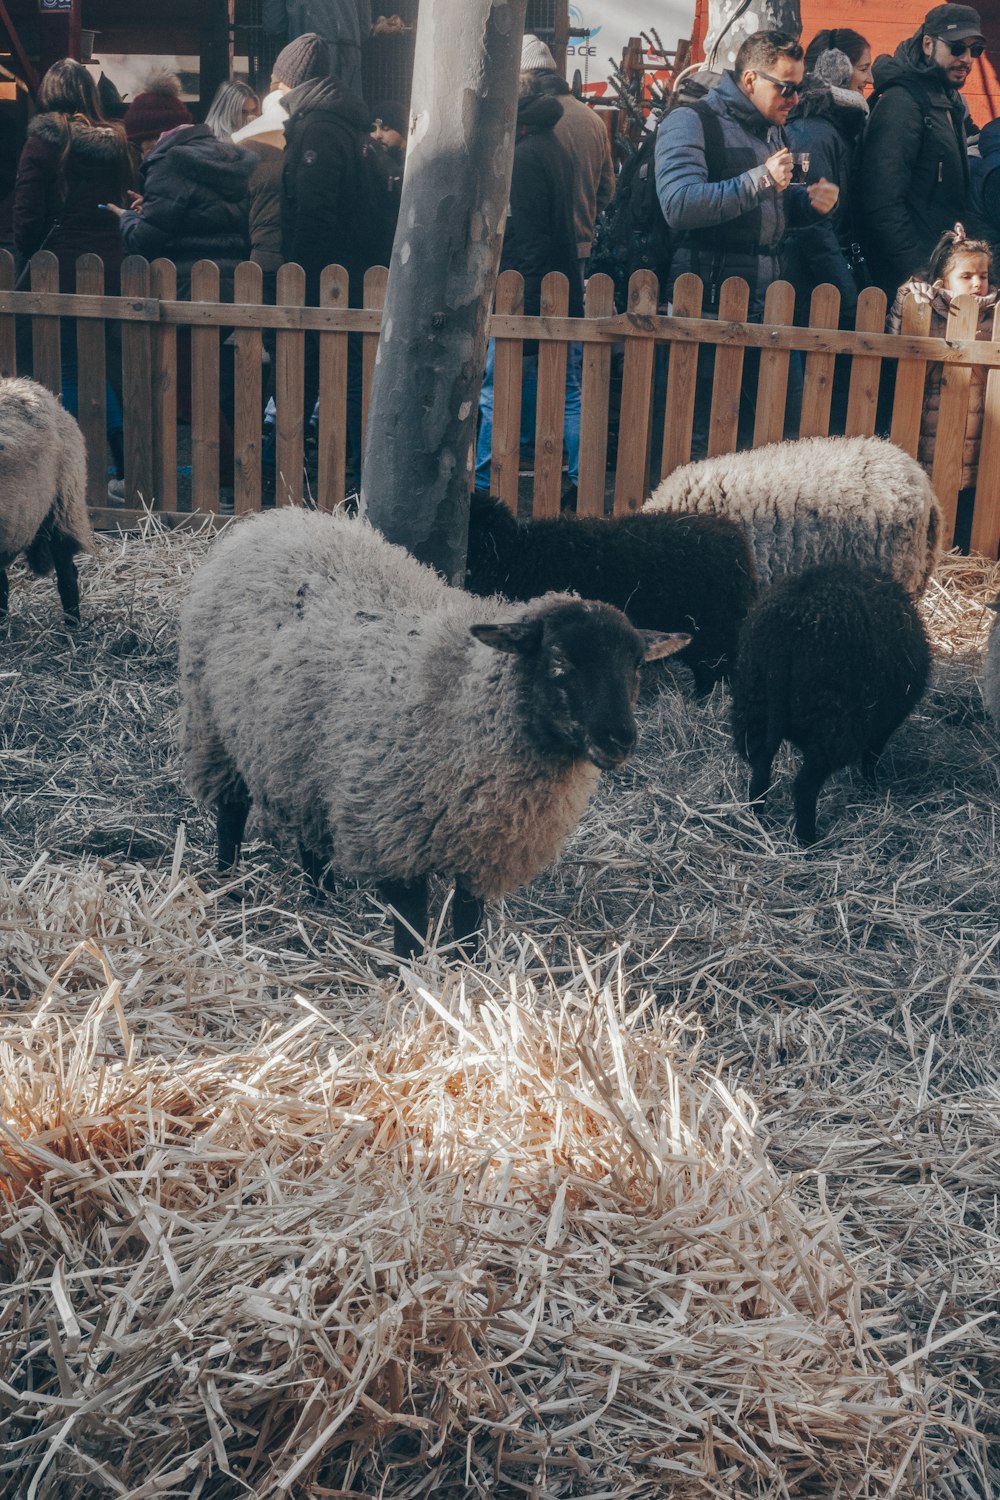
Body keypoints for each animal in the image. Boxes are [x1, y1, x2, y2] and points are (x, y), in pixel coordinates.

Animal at [179, 510, 692, 954]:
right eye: (560, 660)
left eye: (636, 666)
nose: (620, 740)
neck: (464, 703)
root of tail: (273, 519)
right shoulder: (393, 836)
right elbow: (410, 927)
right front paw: (412, 983)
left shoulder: (481, 849)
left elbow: (468, 926)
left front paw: (468, 976)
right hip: (213, 725)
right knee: (231, 811)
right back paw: (227, 886)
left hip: (301, 751)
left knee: (309, 832)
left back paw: (322, 901)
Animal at [731, 564, 935, 846]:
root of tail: (783, 636)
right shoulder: (884, 721)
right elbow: (871, 757)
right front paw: (870, 789)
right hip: (831, 724)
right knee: (804, 787)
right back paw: (809, 842)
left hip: (753, 707)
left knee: (760, 769)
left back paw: (756, 821)